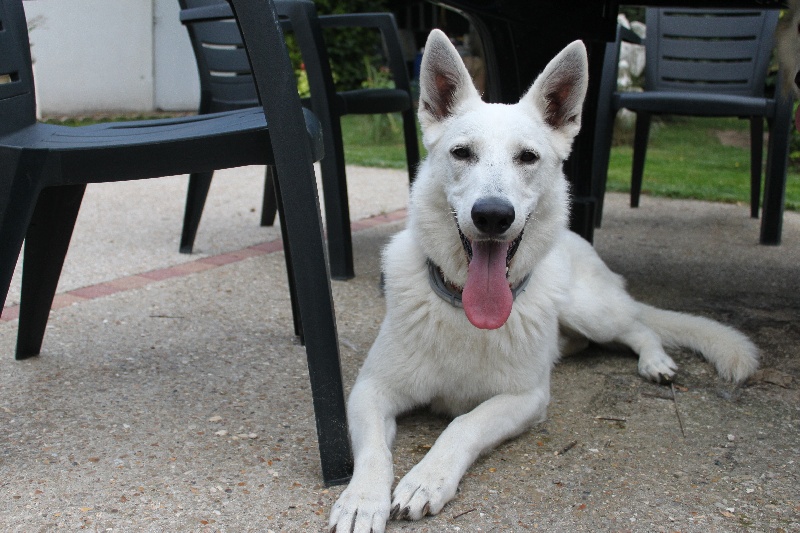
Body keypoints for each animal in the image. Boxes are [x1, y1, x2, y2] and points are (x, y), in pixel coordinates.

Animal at [328, 30, 760, 532]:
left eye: (528, 157)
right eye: (462, 152)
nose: (493, 216)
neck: (463, 311)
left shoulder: (525, 398)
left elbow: (463, 424)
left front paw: (426, 479)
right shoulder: (370, 391)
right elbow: (374, 452)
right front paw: (362, 500)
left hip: (587, 309)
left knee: (639, 326)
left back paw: (655, 361)